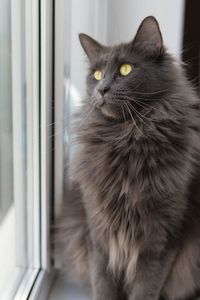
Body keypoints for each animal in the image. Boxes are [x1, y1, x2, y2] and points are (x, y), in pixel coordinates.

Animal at [55, 16, 200, 300]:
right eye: (97, 74)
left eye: (125, 69)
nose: (102, 89)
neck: (125, 140)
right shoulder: (97, 233)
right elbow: (103, 285)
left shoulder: (163, 240)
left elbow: (146, 289)